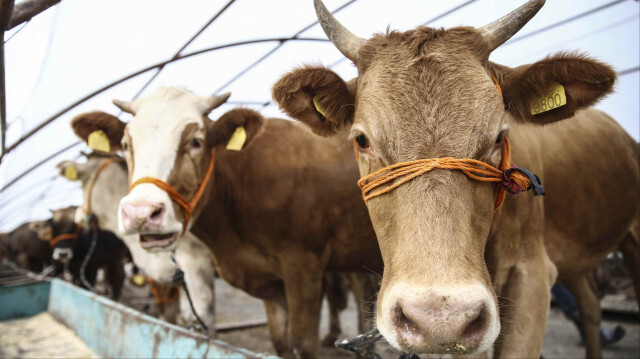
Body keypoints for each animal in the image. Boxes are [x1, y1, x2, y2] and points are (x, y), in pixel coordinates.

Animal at [72, 88, 384, 359]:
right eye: (126, 145)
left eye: (196, 141)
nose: (141, 213)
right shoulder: (271, 284)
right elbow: (280, 343)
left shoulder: (304, 265)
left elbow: (300, 344)